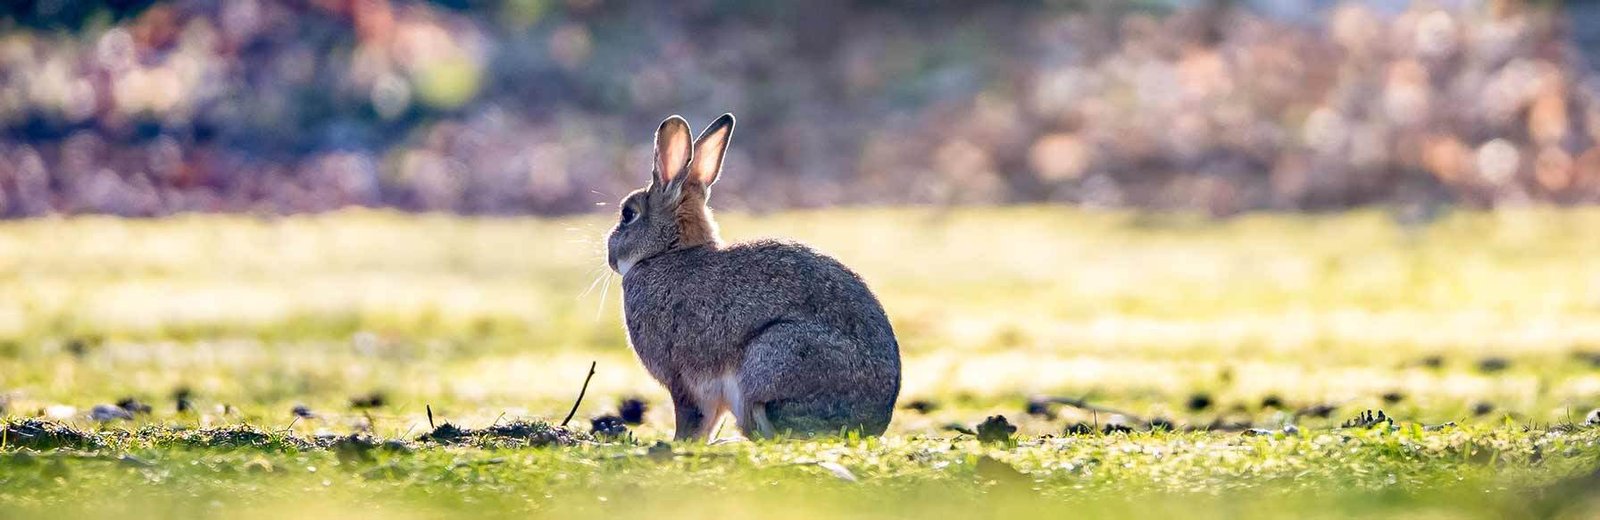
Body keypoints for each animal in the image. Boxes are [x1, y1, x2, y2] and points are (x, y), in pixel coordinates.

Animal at [606, 113, 901, 441]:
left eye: (628, 214)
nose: (610, 256)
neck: (665, 253)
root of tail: (872, 422)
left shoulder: (683, 380)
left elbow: (691, 417)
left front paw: (678, 443)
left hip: (773, 356)